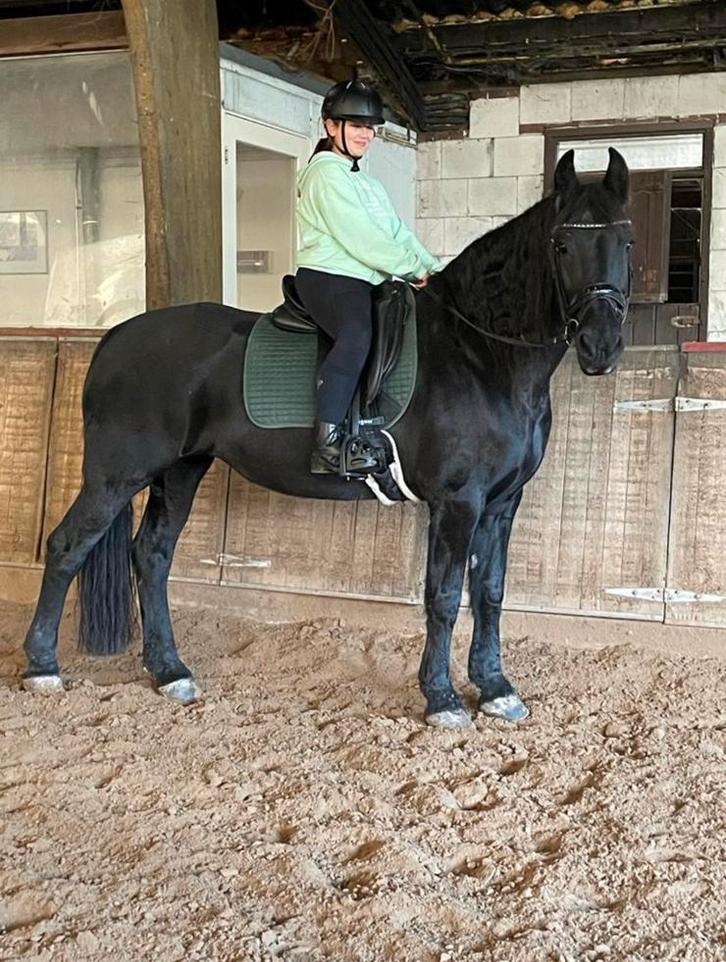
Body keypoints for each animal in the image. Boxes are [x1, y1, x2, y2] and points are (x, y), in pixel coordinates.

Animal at [21, 148, 633, 729]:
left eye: (625, 240)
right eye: (561, 245)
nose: (600, 346)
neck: (479, 352)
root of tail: (116, 336)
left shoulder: (503, 502)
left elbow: (490, 592)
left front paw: (497, 689)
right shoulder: (458, 502)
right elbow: (442, 597)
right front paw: (442, 699)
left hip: (181, 470)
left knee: (150, 555)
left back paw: (170, 671)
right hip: (118, 474)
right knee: (68, 547)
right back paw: (42, 667)